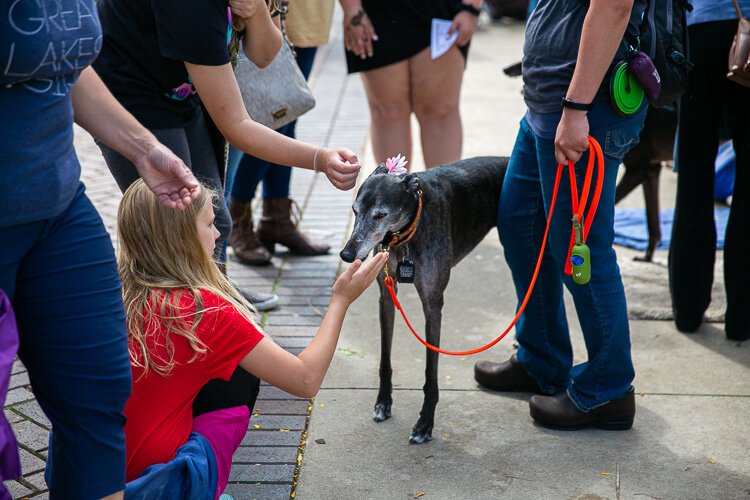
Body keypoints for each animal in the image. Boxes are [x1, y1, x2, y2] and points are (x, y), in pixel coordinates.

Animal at [342, 157, 512, 446]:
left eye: (380, 214)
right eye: (355, 211)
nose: (346, 254)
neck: (408, 233)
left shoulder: (433, 304)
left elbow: (430, 373)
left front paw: (424, 424)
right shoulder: (386, 295)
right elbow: (385, 359)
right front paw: (383, 403)